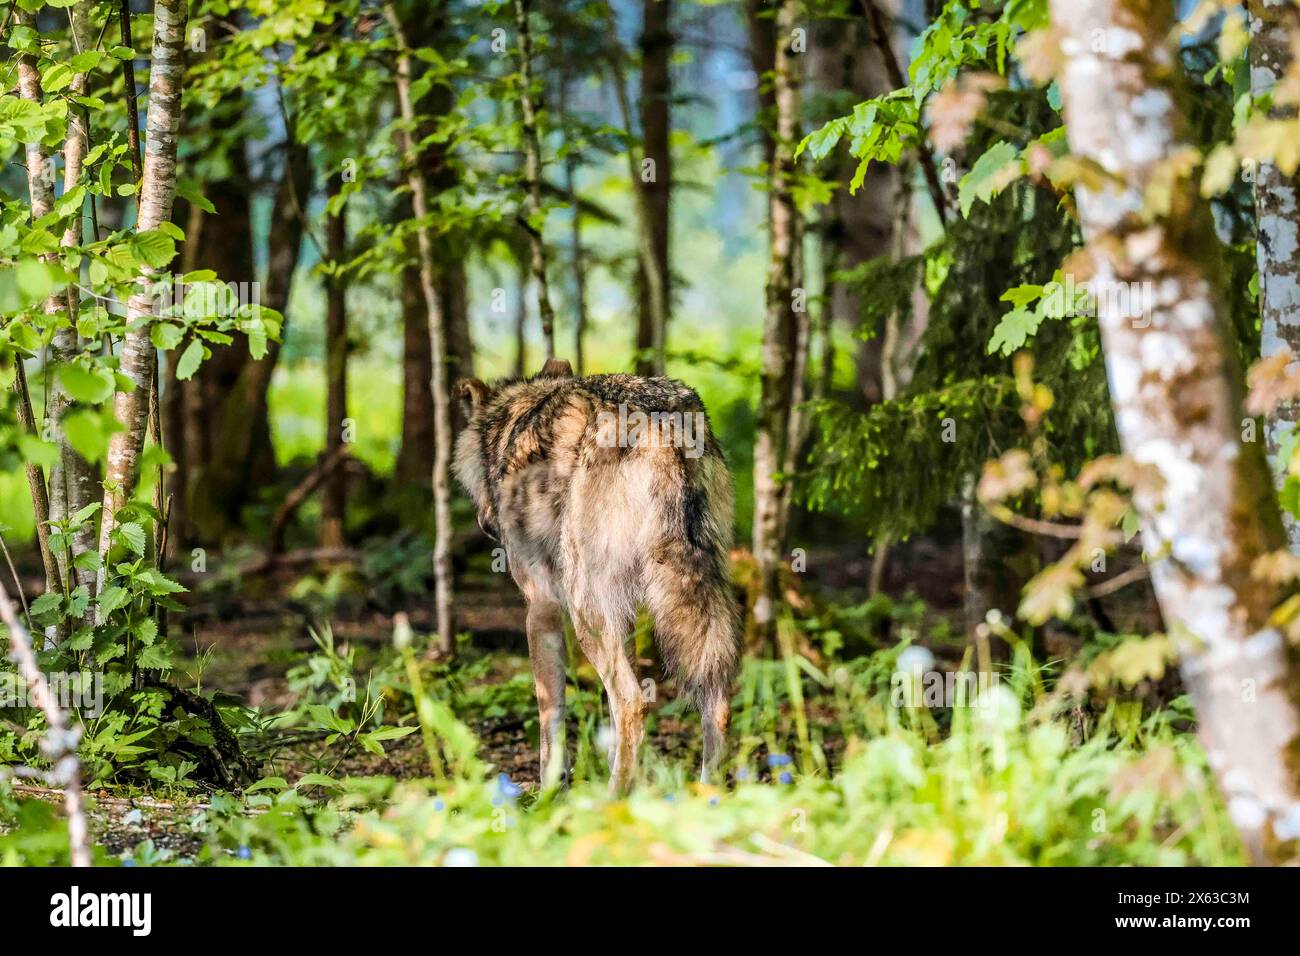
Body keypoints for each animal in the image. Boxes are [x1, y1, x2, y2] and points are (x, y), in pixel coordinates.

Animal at [457, 358, 743, 790]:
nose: (485, 523)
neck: (510, 426)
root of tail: (661, 423)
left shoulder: (540, 607)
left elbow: (550, 718)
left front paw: (547, 794)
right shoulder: (622, 615)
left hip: (584, 611)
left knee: (631, 702)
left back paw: (612, 798)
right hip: (697, 596)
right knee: (716, 702)